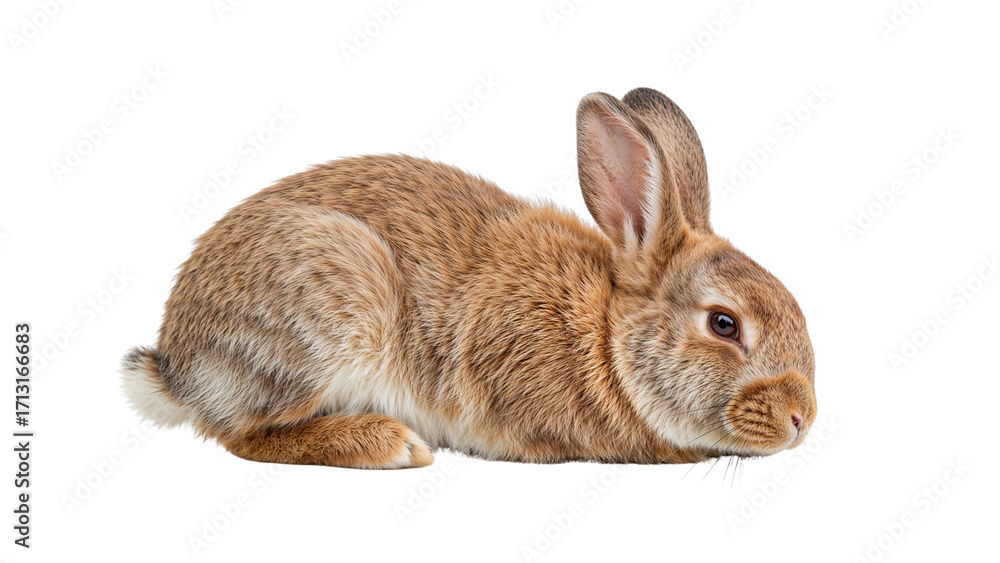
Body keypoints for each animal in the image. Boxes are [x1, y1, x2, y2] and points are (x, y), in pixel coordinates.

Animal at [121, 87, 816, 469]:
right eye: (724, 324)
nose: (802, 419)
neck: (605, 338)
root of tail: (175, 367)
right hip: (331, 310)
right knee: (243, 435)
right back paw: (388, 446)